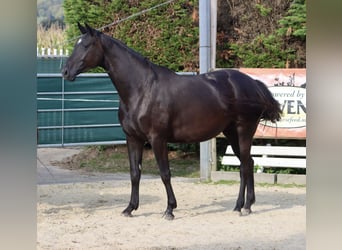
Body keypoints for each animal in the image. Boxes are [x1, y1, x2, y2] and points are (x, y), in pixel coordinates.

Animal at [61, 23, 280, 219]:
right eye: (76, 44)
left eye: (86, 45)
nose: (65, 72)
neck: (141, 89)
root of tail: (253, 83)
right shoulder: (133, 139)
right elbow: (134, 173)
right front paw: (130, 208)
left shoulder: (157, 139)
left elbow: (165, 173)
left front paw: (169, 209)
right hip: (231, 132)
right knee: (247, 163)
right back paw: (240, 205)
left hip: (244, 131)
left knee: (245, 165)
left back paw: (246, 207)